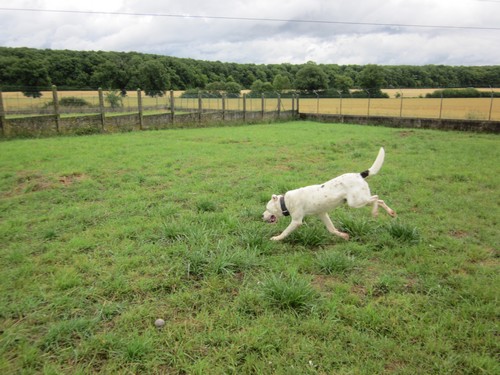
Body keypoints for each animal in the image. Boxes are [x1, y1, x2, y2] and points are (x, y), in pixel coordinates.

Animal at [264, 147, 396, 241]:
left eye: (267, 208)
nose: (261, 215)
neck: (285, 202)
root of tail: (359, 174)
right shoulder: (322, 214)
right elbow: (331, 229)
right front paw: (343, 236)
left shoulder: (296, 221)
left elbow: (285, 232)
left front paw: (276, 238)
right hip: (359, 200)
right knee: (380, 200)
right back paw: (391, 213)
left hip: (355, 202)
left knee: (376, 198)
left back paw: (375, 212)